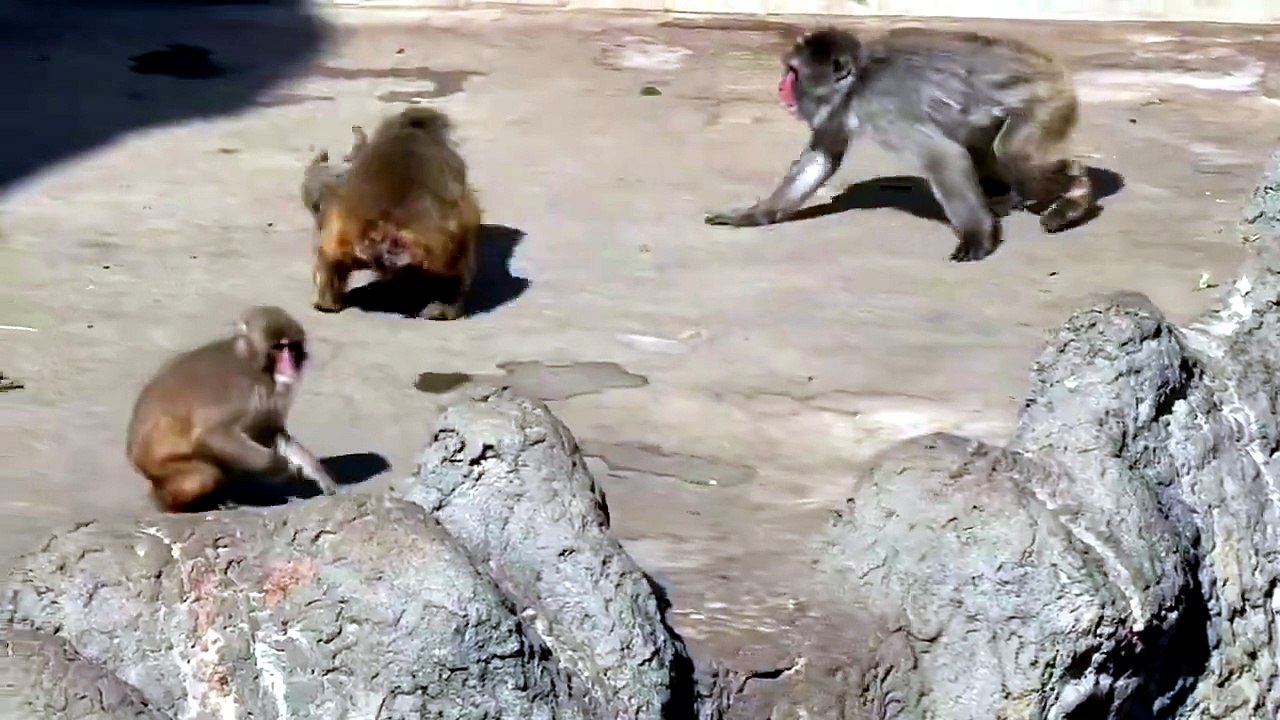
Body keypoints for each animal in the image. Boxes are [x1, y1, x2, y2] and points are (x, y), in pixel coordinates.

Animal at [125, 305, 338, 513]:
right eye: (278, 348)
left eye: (291, 347)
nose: (289, 366)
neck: (252, 364)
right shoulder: (240, 388)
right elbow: (211, 433)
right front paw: (281, 468)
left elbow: (267, 431)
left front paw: (315, 470)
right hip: (162, 468)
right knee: (206, 474)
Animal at [704, 26, 1094, 262]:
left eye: (794, 73)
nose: (780, 88)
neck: (858, 81)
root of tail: (1053, 68)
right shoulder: (840, 109)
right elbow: (823, 156)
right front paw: (752, 215)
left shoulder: (883, 106)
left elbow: (942, 156)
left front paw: (977, 237)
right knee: (985, 149)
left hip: (1047, 101)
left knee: (1013, 154)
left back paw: (1075, 192)